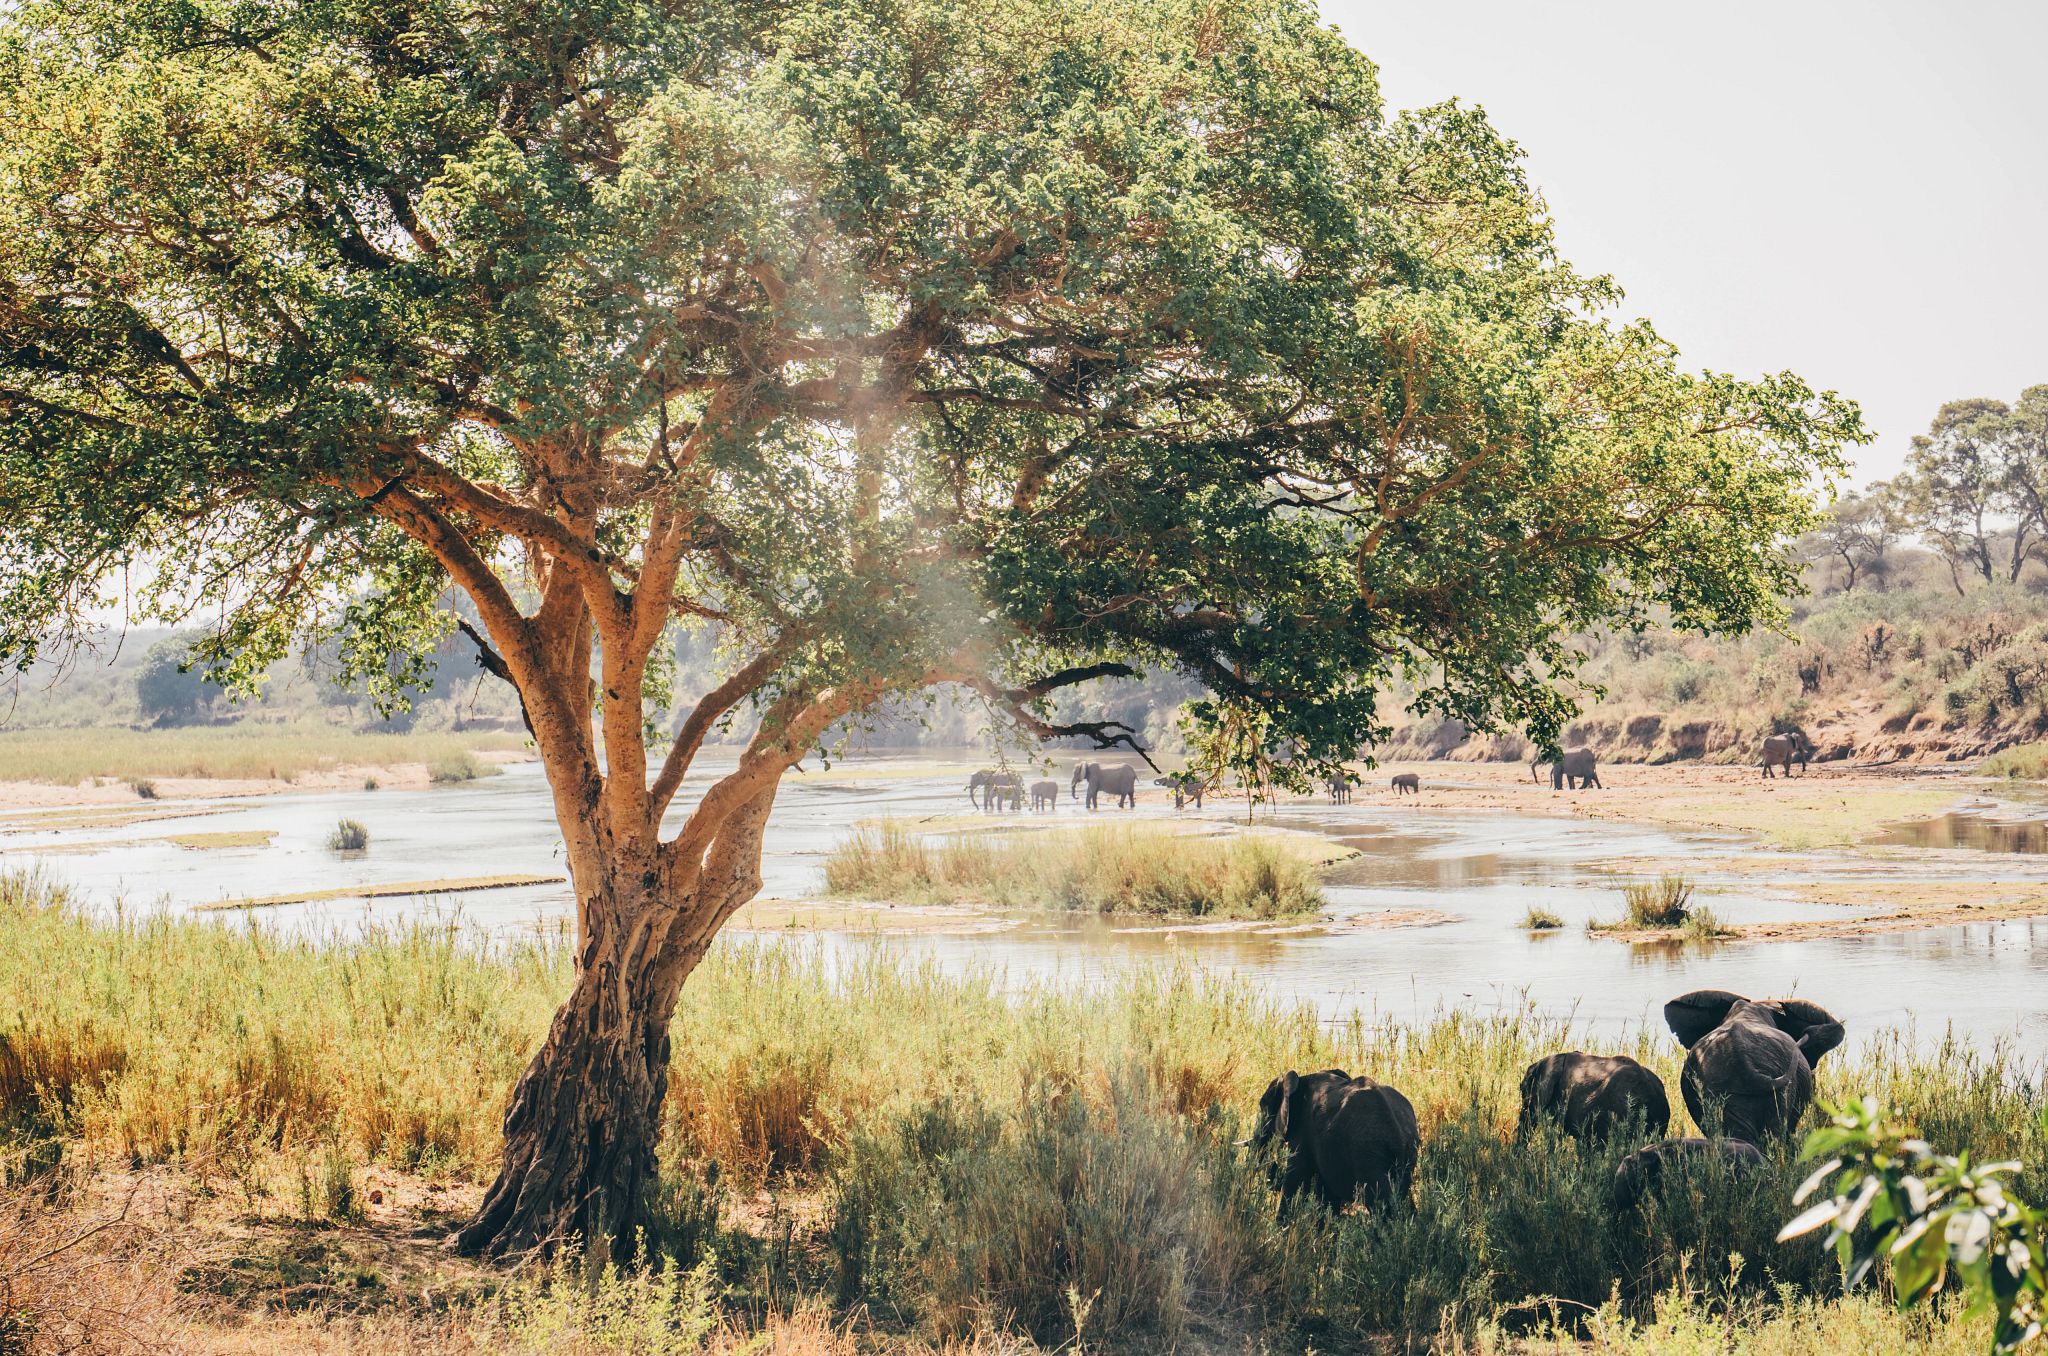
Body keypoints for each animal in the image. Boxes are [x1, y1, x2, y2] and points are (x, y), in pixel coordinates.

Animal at [1244, 1069, 1418, 1216]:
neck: (1300, 1079)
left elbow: (1295, 1176)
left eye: (1263, 1106)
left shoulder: (1304, 1128)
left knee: (1381, 1205)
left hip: (1369, 1152)